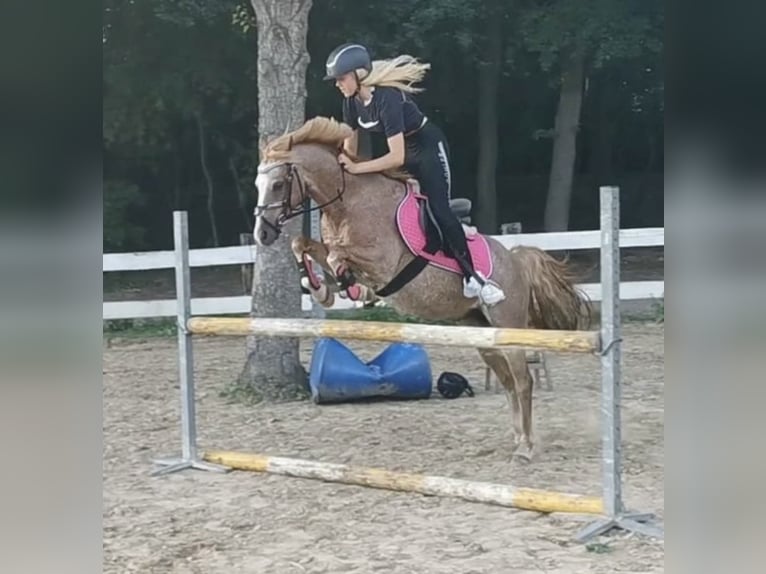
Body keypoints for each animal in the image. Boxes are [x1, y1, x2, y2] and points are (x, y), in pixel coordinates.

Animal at [252, 116, 590, 461]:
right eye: (257, 185)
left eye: (277, 184)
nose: (262, 234)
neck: (349, 203)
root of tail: (516, 260)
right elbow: (302, 244)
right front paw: (322, 288)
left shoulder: (382, 261)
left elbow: (336, 257)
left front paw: (348, 290)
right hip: (483, 334)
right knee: (508, 382)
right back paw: (518, 438)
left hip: (508, 325)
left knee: (523, 381)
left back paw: (525, 448)